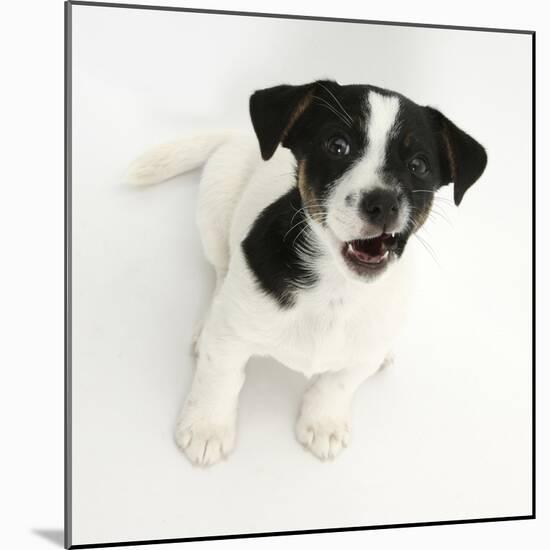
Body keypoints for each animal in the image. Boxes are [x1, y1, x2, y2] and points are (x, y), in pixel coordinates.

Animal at [127, 80, 490, 468]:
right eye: (337, 146)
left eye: (419, 165)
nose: (383, 203)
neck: (336, 288)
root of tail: (238, 136)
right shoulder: (229, 338)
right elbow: (219, 378)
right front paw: (207, 427)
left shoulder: (362, 352)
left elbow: (338, 385)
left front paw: (324, 422)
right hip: (213, 218)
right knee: (221, 273)